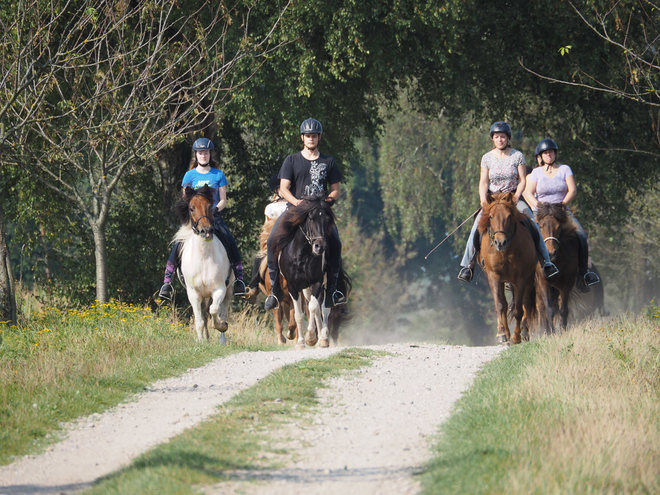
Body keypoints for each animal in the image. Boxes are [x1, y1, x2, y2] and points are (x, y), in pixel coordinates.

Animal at [174, 186, 233, 344]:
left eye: (209, 206)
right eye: (191, 208)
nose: (206, 231)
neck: (204, 256)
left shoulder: (219, 289)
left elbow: (214, 310)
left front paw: (221, 326)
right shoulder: (193, 293)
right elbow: (199, 320)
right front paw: (200, 342)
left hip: (229, 290)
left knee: (222, 311)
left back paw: (222, 340)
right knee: (204, 315)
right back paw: (206, 339)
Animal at [480, 194, 536, 344]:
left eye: (509, 216)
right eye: (491, 216)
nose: (500, 242)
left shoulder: (520, 279)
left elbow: (518, 310)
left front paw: (516, 337)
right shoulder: (494, 277)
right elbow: (499, 305)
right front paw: (501, 334)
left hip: (528, 279)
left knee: (526, 304)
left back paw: (524, 333)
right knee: (504, 304)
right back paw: (506, 332)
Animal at [536, 203, 576, 336]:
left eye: (559, 227)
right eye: (540, 227)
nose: (550, 253)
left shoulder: (567, 283)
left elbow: (563, 309)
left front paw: (563, 330)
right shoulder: (543, 283)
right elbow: (549, 309)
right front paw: (551, 333)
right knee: (541, 308)